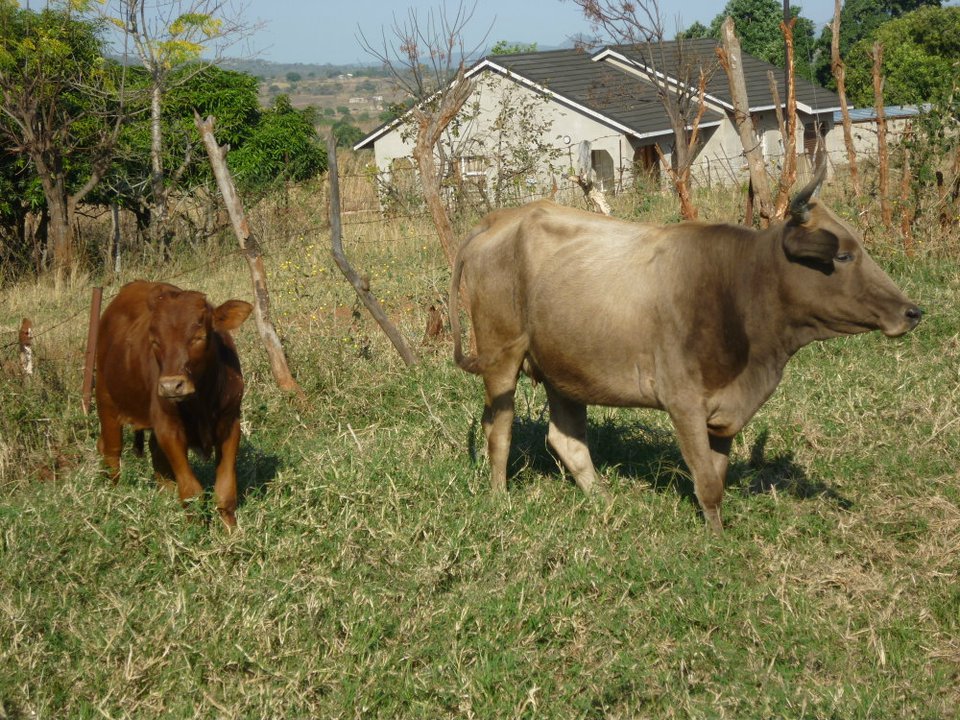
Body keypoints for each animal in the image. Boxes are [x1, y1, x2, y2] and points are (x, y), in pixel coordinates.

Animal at [450, 167, 924, 528]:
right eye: (843, 256)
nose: (912, 311)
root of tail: (501, 218)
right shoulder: (683, 400)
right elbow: (708, 483)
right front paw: (717, 539)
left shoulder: (725, 411)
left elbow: (717, 472)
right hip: (501, 355)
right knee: (499, 430)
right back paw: (500, 499)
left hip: (564, 368)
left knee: (565, 439)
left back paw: (605, 501)